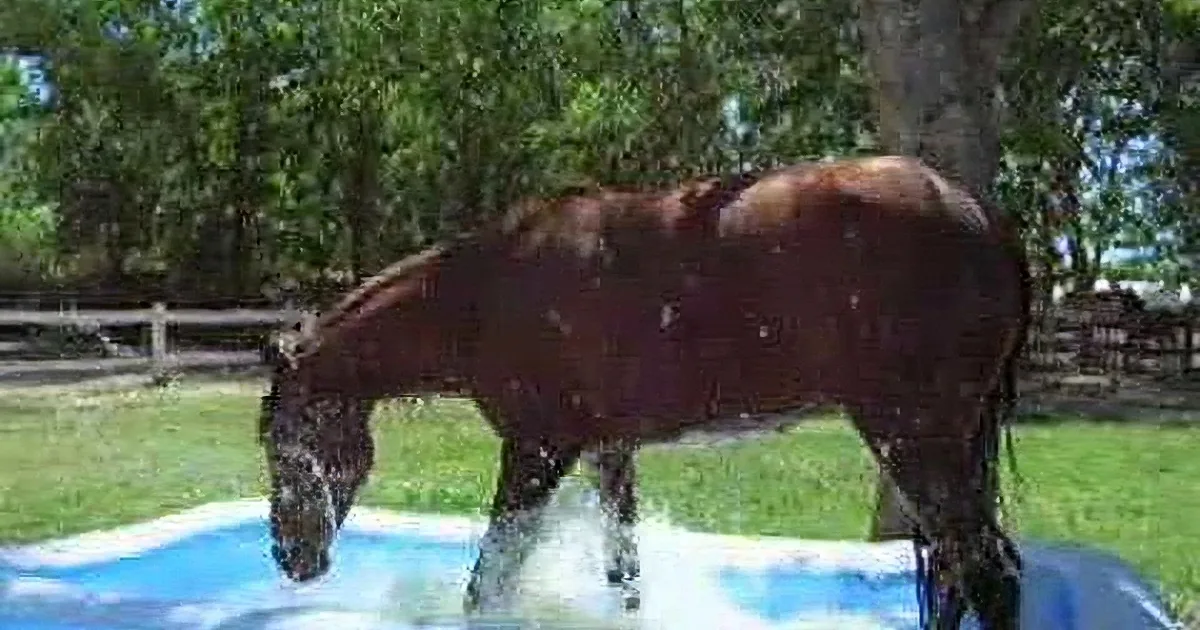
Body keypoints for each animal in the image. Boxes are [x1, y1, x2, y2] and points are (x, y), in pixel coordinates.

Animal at [258, 155, 1028, 630]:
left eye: (283, 443)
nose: (291, 558)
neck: (481, 293)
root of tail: (982, 215)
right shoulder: (609, 451)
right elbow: (623, 575)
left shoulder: (537, 451)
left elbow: (488, 584)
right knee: (959, 575)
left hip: (913, 436)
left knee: (988, 579)